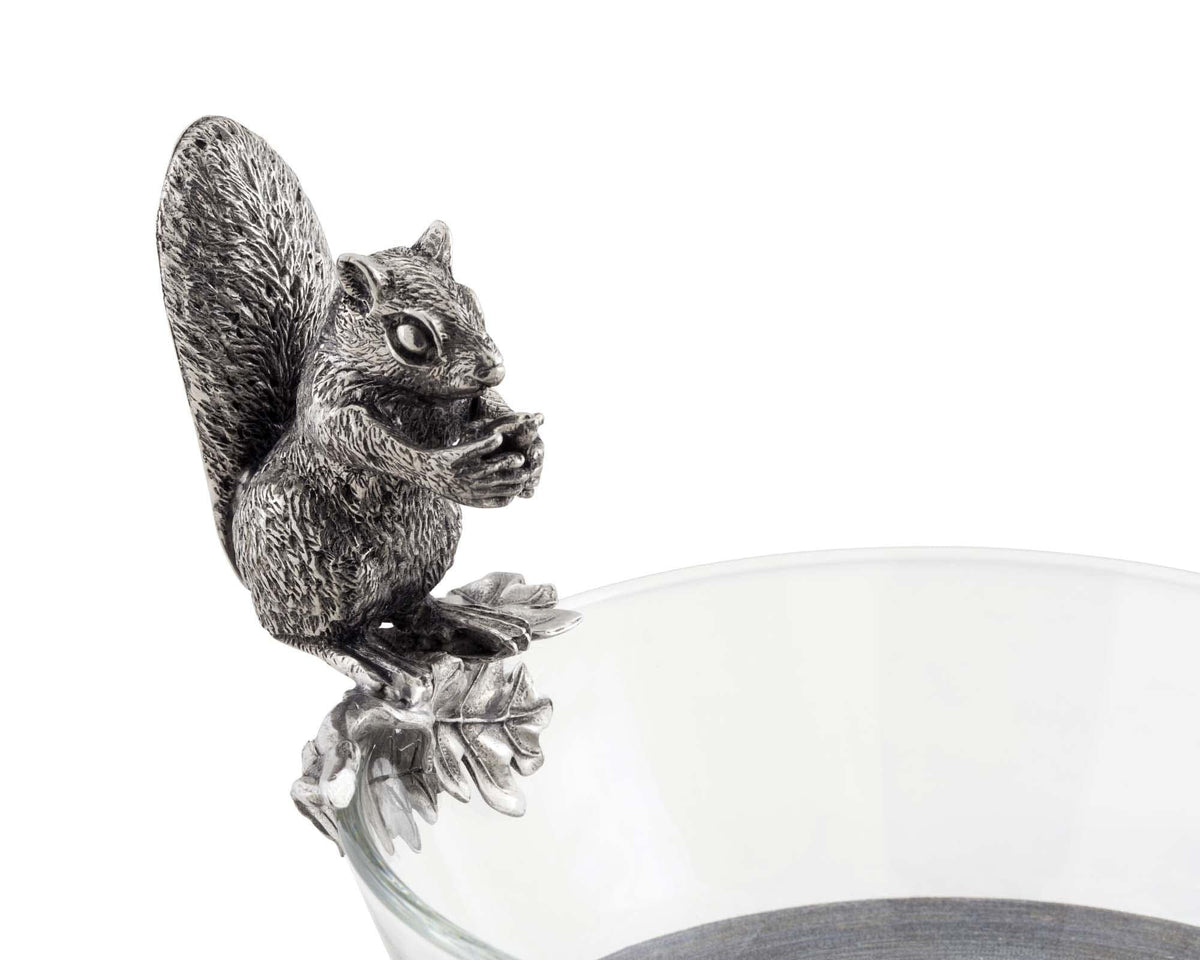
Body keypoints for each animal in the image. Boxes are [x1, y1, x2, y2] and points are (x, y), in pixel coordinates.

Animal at [158, 116, 547, 685]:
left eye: (472, 298)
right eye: (411, 335)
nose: (495, 366)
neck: (419, 395)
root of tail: (251, 575)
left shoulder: (465, 401)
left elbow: (486, 406)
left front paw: (533, 447)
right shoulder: (330, 401)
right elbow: (359, 437)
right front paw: (451, 471)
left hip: (430, 547)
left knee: (410, 610)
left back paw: (470, 622)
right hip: (304, 560)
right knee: (311, 635)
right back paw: (375, 663)